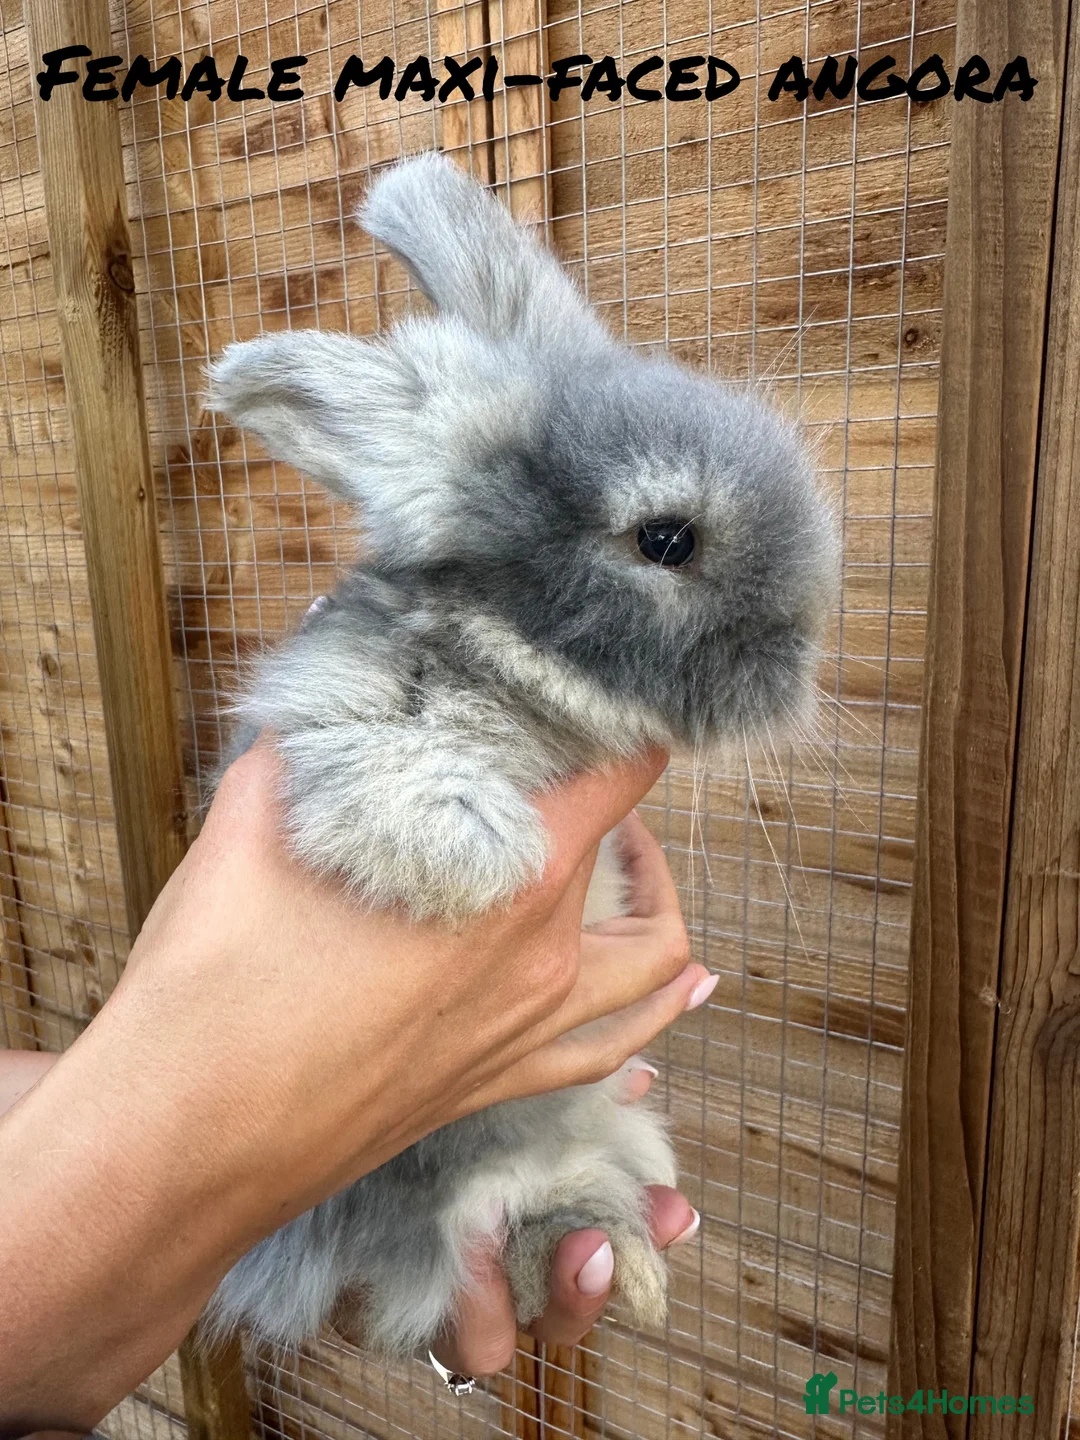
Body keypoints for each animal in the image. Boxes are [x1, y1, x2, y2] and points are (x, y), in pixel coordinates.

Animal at [204, 151, 837, 1359]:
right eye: (666, 538)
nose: (800, 649)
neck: (517, 652)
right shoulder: (357, 702)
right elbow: (388, 775)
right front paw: (470, 858)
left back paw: (630, 1265)